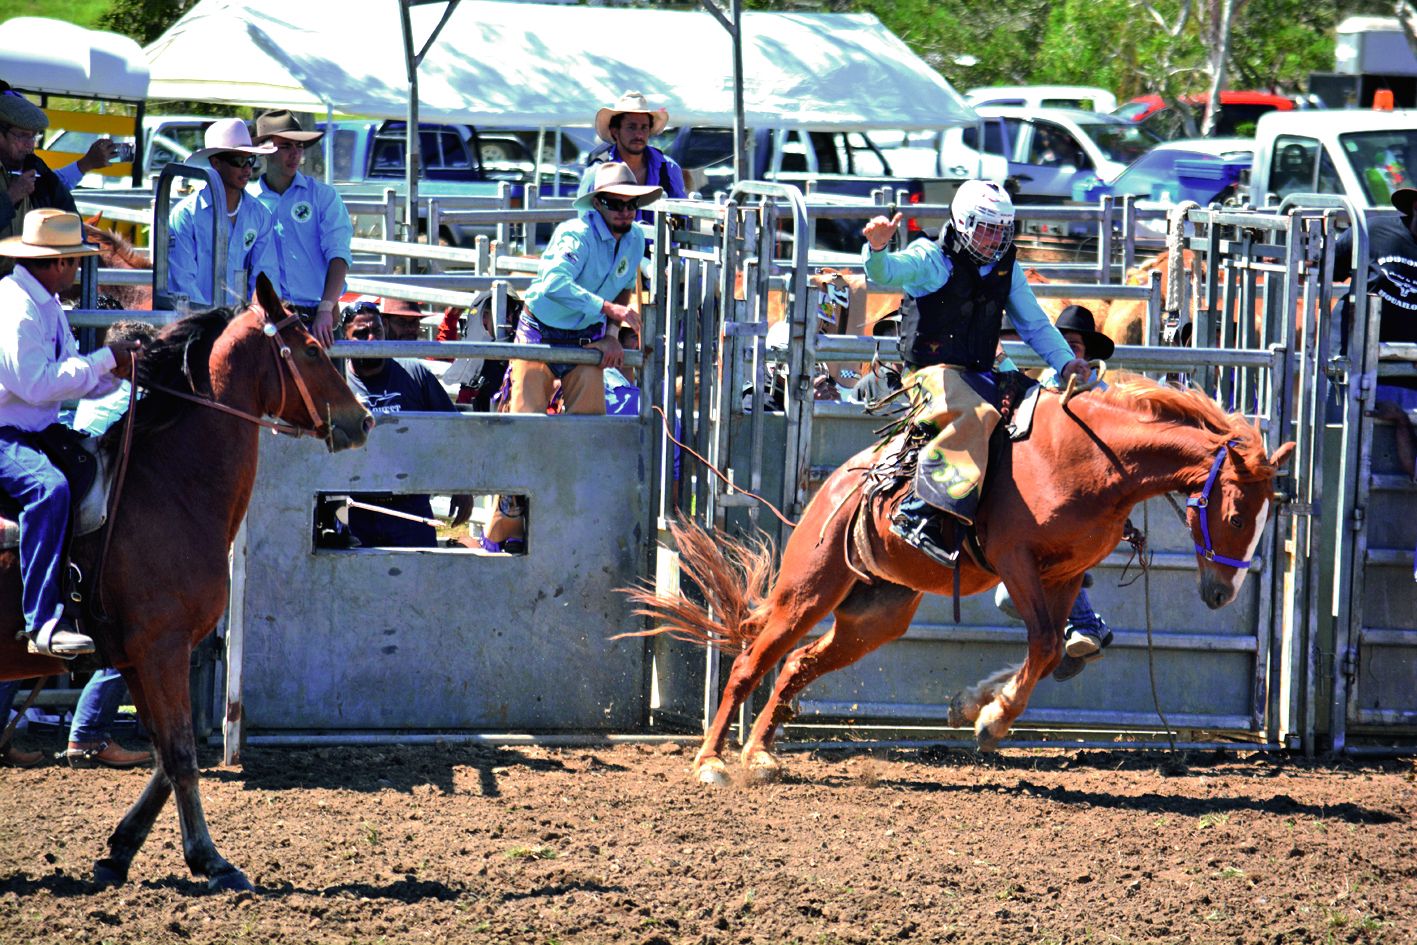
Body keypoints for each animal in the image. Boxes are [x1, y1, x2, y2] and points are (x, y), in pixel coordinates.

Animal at [0, 274, 371, 895]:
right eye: (311, 350)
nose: (362, 419)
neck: (168, 486)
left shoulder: (135, 657)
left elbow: (164, 754)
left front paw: (119, 850)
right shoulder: (163, 647)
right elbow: (180, 756)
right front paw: (211, 860)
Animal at [631, 376, 1297, 782]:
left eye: (1269, 517)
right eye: (1237, 515)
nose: (1221, 595)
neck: (1095, 458)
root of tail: (836, 487)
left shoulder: (1065, 574)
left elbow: (1050, 650)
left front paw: (974, 703)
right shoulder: (1016, 559)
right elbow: (1044, 643)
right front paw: (991, 720)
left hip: (875, 615)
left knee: (796, 663)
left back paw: (762, 753)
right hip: (809, 588)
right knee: (752, 660)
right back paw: (712, 762)